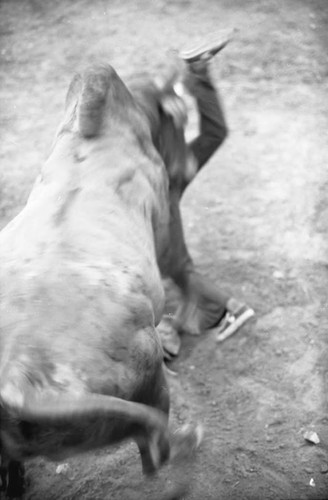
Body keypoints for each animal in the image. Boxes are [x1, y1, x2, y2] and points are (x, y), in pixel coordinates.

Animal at [0, 64, 201, 498]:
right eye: (180, 121)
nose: (192, 164)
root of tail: (18, 378)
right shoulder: (166, 216)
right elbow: (183, 264)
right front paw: (189, 317)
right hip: (147, 380)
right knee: (154, 452)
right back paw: (187, 441)